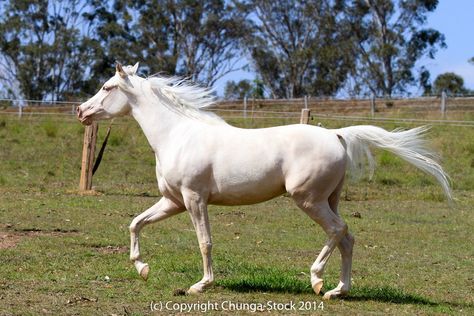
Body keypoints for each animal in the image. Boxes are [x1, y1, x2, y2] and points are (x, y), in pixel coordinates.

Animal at [77, 63, 452, 298]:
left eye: (107, 87)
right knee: (348, 238)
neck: (177, 134)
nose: (81, 111)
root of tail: (336, 135)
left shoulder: (195, 198)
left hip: (308, 199)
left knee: (337, 231)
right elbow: (135, 223)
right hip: (329, 199)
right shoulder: (173, 201)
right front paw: (142, 268)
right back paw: (336, 291)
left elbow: (205, 242)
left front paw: (201, 285)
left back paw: (317, 280)